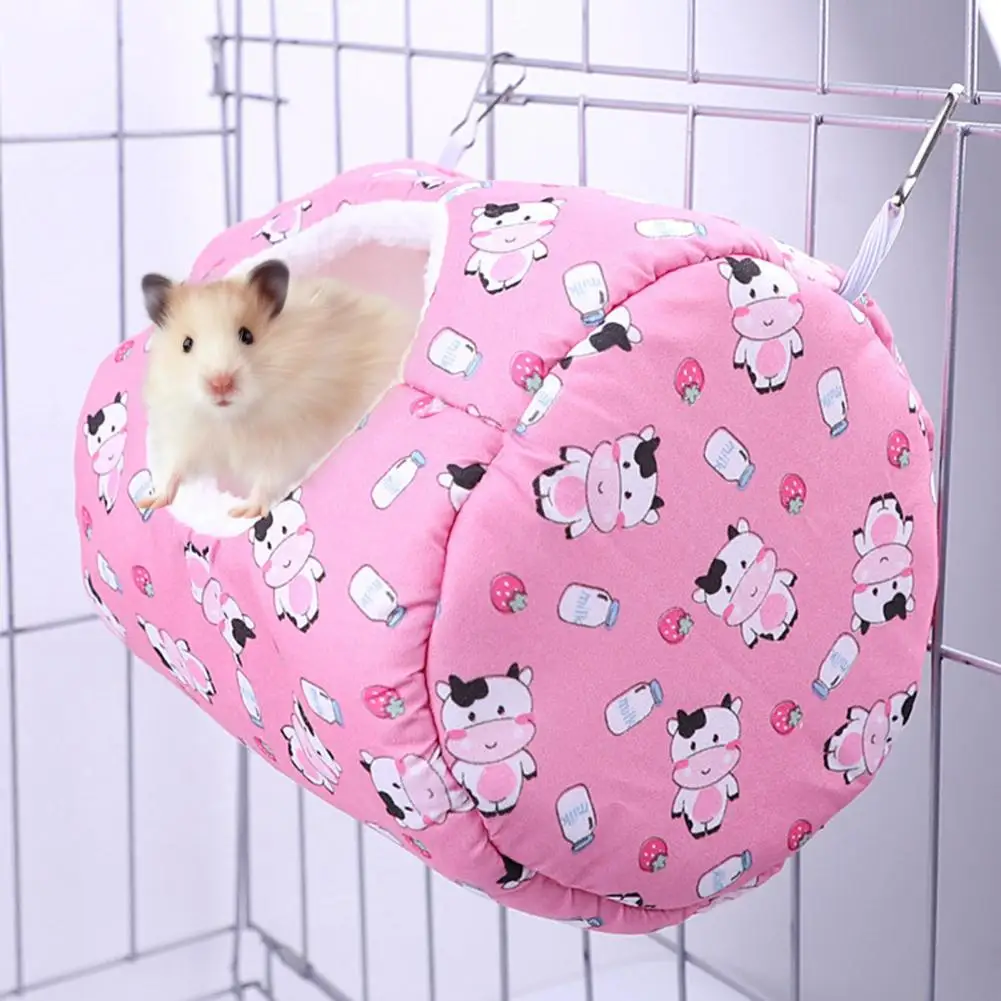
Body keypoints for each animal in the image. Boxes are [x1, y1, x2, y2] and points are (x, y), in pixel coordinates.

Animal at [136, 259, 414, 521]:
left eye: (247, 335)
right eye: (186, 344)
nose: (221, 384)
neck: (231, 419)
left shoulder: (288, 443)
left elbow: (268, 478)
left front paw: (243, 512)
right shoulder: (185, 434)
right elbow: (175, 468)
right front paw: (151, 501)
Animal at [532, 425, 664, 540]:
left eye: (628, 494)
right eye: (626, 464)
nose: (601, 486)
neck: (586, 489)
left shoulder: (584, 520)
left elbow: (578, 527)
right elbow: (577, 454)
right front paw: (565, 452)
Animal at [667, 694, 743, 839]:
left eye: (716, 737)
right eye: (692, 746)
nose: (705, 767)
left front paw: (734, 794)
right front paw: (676, 812)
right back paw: (699, 833)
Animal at [693, 519, 798, 647]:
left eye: (743, 563)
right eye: (728, 589)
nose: (752, 588)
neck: (761, 603)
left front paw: (791, 578)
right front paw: (751, 641)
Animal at [718, 256, 805, 393]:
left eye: (776, 288)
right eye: (751, 293)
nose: (767, 320)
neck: (769, 338)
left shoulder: (790, 334)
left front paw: (798, 352)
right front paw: (738, 364)